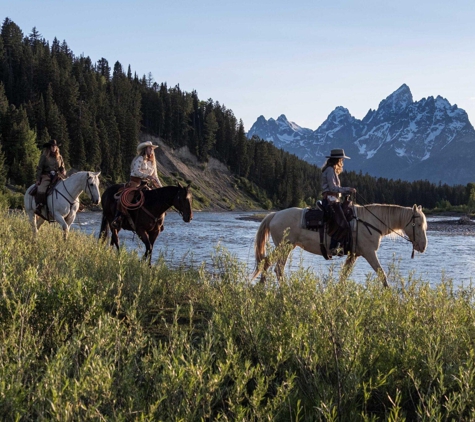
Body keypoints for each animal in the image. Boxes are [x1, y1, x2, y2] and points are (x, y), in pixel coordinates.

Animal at [253, 204, 428, 288]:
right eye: (418, 224)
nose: (423, 247)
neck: (370, 223)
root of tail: (274, 215)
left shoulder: (353, 255)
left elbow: (344, 276)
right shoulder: (369, 253)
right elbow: (382, 274)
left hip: (287, 247)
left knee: (270, 264)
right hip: (284, 247)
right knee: (275, 267)